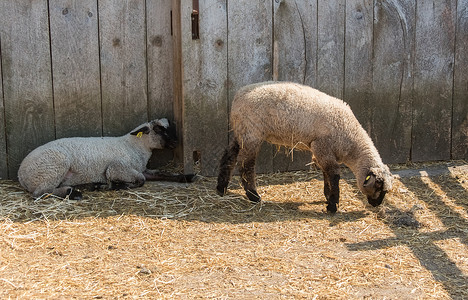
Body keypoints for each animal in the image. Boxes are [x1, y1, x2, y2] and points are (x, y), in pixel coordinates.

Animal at [19, 118, 195, 200]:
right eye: (159, 129)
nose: (176, 142)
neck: (133, 146)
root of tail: (20, 174)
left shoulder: (142, 169)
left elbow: (162, 173)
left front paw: (187, 176)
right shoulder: (117, 168)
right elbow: (141, 180)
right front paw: (115, 186)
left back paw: (89, 186)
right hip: (53, 168)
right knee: (40, 193)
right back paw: (73, 193)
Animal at [218, 81, 394, 213]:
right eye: (379, 186)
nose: (377, 205)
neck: (351, 141)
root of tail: (238, 96)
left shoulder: (324, 152)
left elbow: (326, 173)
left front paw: (327, 196)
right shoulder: (322, 146)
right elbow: (334, 174)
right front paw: (333, 205)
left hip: (241, 131)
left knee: (229, 156)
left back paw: (221, 188)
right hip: (252, 133)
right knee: (245, 165)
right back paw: (254, 196)